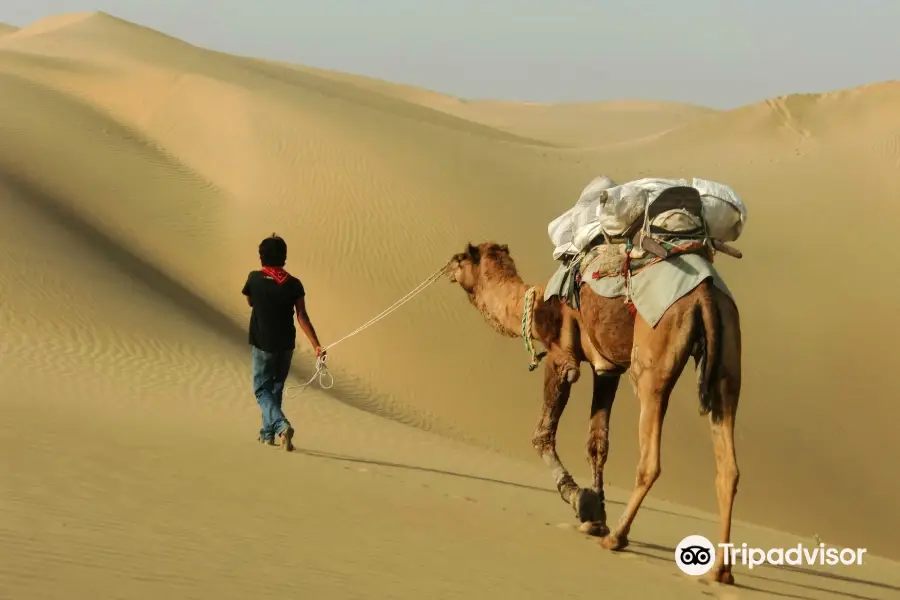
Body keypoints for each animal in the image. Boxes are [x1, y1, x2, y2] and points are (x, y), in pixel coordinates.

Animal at [446, 240, 740, 584]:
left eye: (461, 258)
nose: (448, 266)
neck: (531, 303)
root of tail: (705, 293)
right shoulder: (606, 368)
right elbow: (597, 444)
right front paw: (596, 517)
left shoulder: (562, 358)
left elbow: (542, 434)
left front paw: (580, 501)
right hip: (727, 356)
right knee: (728, 465)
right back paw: (721, 569)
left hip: (653, 358)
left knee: (650, 459)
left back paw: (617, 537)